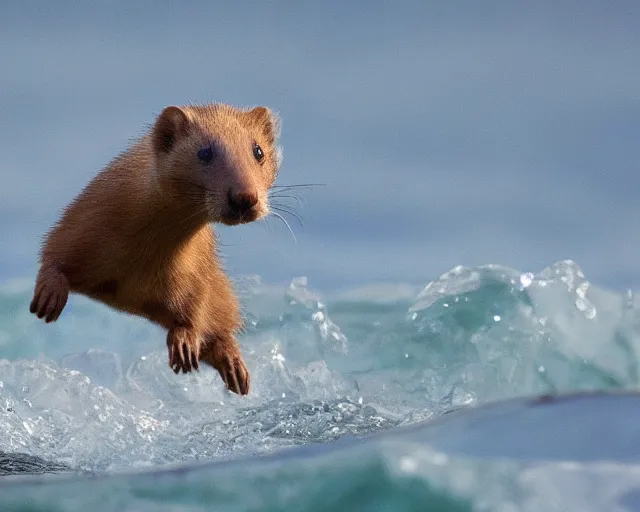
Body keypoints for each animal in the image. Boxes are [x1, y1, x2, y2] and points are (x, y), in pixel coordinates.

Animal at [27, 102, 282, 394]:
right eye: (204, 152)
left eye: (258, 151)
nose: (245, 197)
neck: (142, 258)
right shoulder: (81, 223)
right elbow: (53, 253)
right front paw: (49, 297)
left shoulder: (198, 269)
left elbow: (196, 308)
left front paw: (184, 344)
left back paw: (235, 370)